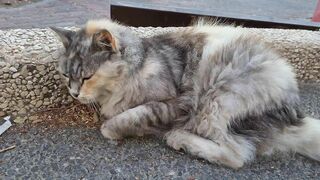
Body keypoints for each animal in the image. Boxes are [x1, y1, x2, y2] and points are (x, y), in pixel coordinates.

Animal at [50, 19, 320, 169]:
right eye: (65, 75)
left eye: (87, 77)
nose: (74, 93)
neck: (141, 63)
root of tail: (295, 115)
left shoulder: (176, 102)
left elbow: (132, 115)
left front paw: (111, 128)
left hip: (217, 99)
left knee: (237, 155)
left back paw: (179, 138)